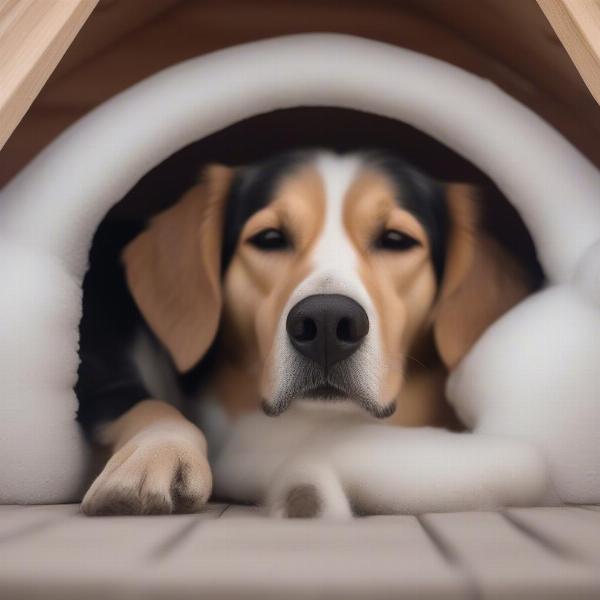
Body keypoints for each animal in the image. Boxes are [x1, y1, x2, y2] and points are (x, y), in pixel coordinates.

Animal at [76, 150, 536, 516]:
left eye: (395, 239)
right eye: (269, 238)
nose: (328, 323)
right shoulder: (100, 377)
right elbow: (150, 406)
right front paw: (159, 452)